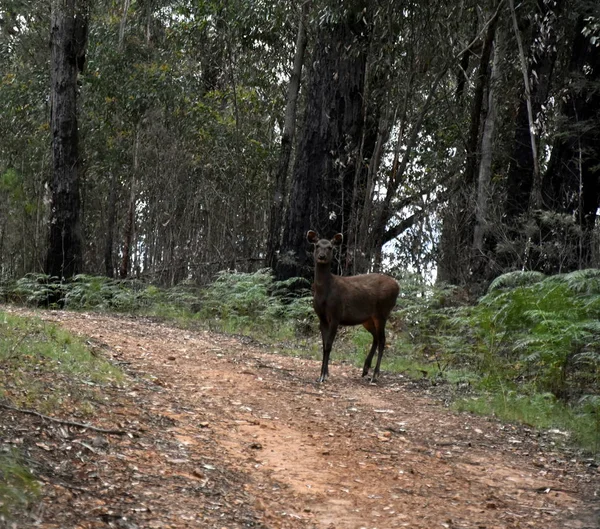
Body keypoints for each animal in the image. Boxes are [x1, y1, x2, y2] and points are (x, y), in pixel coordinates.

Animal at [308, 229, 400, 382]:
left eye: (330, 247)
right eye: (317, 245)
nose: (321, 256)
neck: (324, 293)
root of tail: (398, 286)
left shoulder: (336, 314)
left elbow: (328, 345)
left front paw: (322, 376)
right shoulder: (321, 317)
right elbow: (324, 344)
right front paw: (324, 373)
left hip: (383, 311)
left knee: (383, 340)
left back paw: (375, 375)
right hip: (368, 319)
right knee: (376, 337)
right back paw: (365, 369)